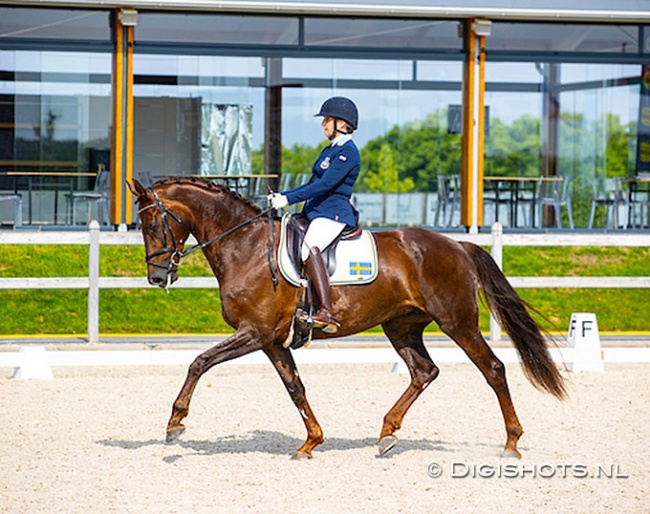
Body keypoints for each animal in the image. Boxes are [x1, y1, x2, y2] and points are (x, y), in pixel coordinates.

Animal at [125, 177, 560, 460]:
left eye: (153, 222)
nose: (157, 277)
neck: (244, 246)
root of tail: (457, 244)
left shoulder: (255, 333)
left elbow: (199, 362)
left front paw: (175, 424)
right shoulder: (271, 341)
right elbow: (295, 388)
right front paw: (310, 443)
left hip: (457, 322)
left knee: (493, 369)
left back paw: (511, 443)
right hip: (401, 326)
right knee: (424, 372)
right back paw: (387, 433)